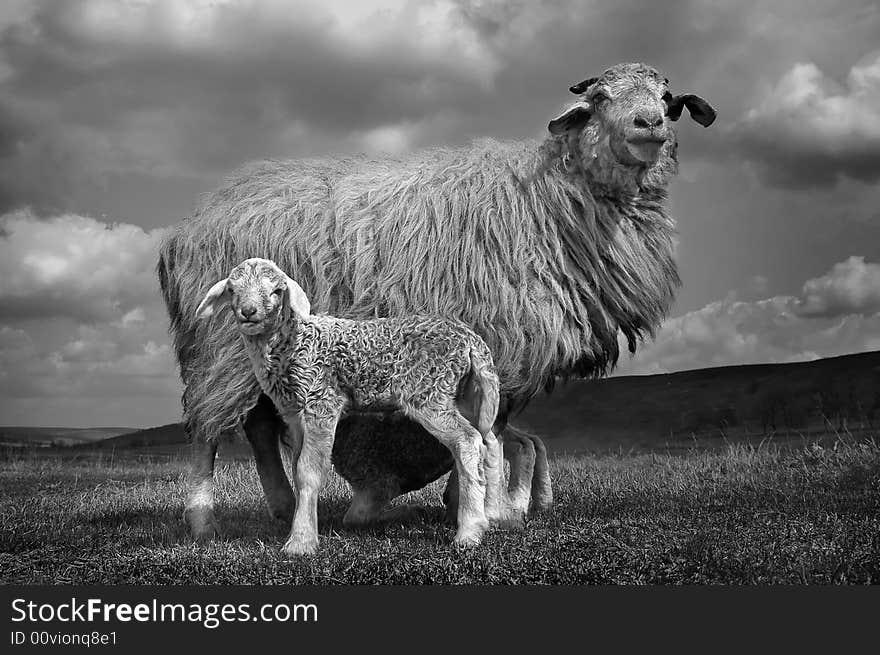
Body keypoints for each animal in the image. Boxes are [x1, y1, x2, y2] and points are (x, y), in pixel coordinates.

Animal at [197, 256, 506, 552]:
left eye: (277, 290)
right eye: (233, 290)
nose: (249, 312)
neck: (294, 342)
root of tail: (471, 340)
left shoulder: (322, 401)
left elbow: (308, 472)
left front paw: (300, 543)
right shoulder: (295, 415)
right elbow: (297, 470)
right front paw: (302, 529)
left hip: (429, 391)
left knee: (467, 440)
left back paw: (469, 531)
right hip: (466, 393)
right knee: (489, 439)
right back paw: (492, 516)